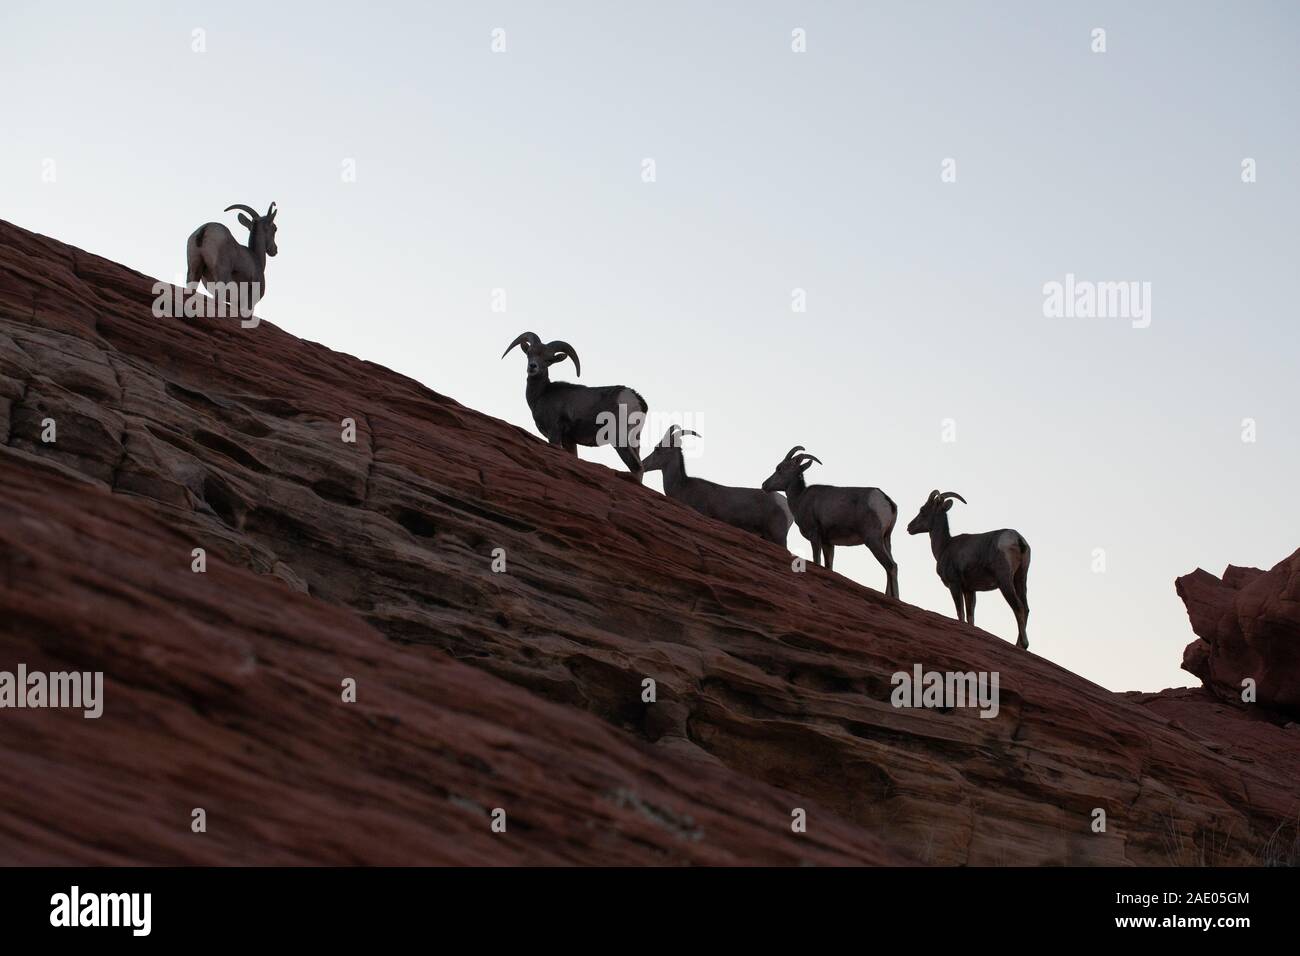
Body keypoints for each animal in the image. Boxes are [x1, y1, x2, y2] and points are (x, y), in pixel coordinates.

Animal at [499, 332, 647, 481]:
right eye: (529, 353)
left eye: (548, 360)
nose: (533, 366)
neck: (541, 394)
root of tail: (636, 398)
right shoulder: (570, 440)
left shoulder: (554, 433)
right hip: (634, 440)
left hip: (619, 438)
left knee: (636, 467)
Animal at [759, 447, 899, 598]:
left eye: (779, 468)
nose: (764, 485)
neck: (800, 499)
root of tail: (886, 501)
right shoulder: (828, 543)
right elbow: (828, 567)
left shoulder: (815, 536)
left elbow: (817, 561)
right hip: (886, 540)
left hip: (873, 540)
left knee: (891, 566)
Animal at [909, 494, 1029, 650]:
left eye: (922, 510)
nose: (909, 527)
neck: (944, 546)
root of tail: (1017, 539)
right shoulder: (969, 590)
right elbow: (970, 617)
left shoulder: (955, 585)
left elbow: (960, 613)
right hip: (1020, 578)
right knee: (1026, 608)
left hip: (1005, 581)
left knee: (1018, 607)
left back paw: (1023, 645)